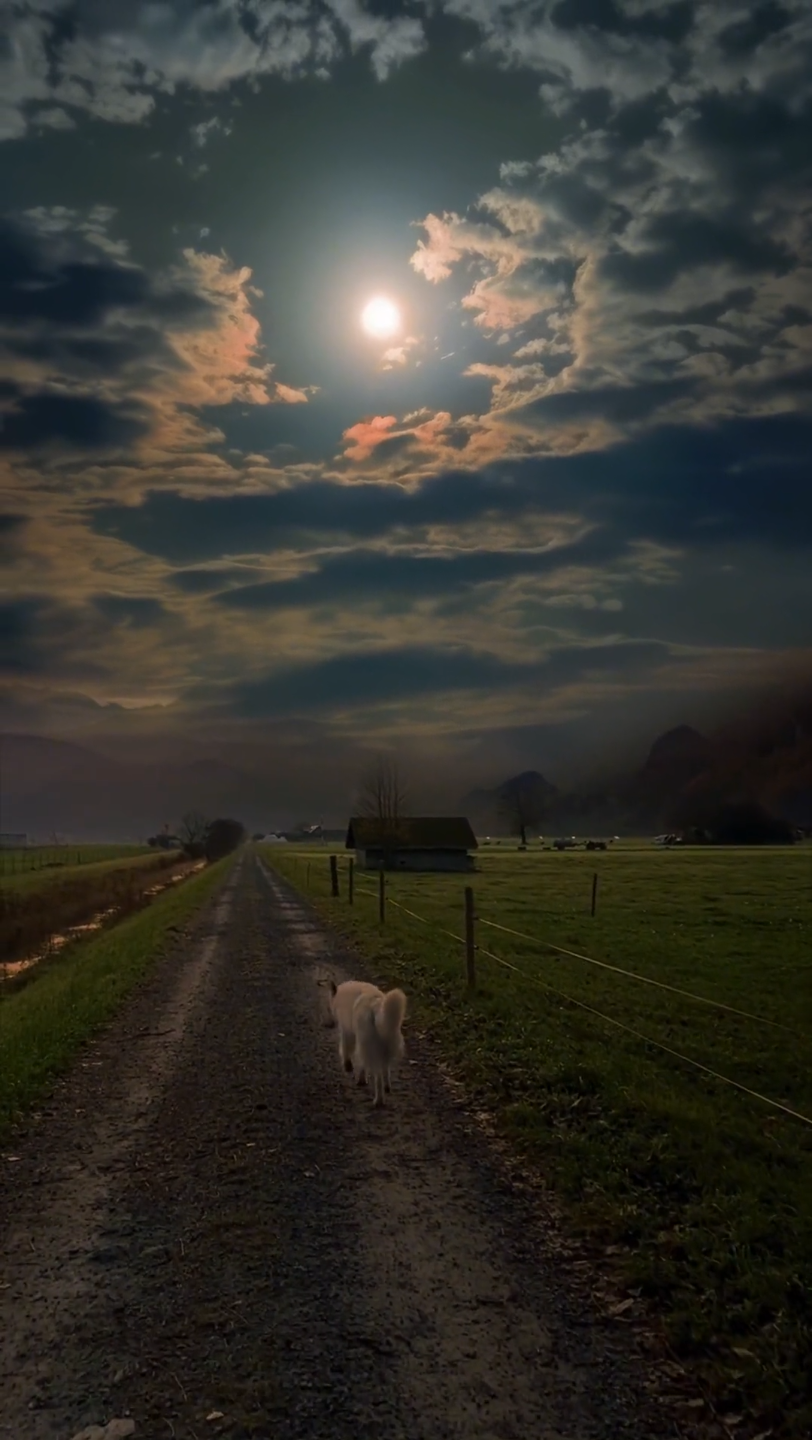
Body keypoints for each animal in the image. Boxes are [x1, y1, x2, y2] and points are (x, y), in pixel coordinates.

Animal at [328, 979, 406, 1111]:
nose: (329, 1024)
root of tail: (376, 1006)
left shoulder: (347, 1030)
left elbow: (345, 1048)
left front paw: (348, 1066)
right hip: (384, 1044)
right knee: (385, 1069)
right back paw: (386, 1087)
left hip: (367, 1045)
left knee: (377, 1076)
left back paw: (378, 1100)